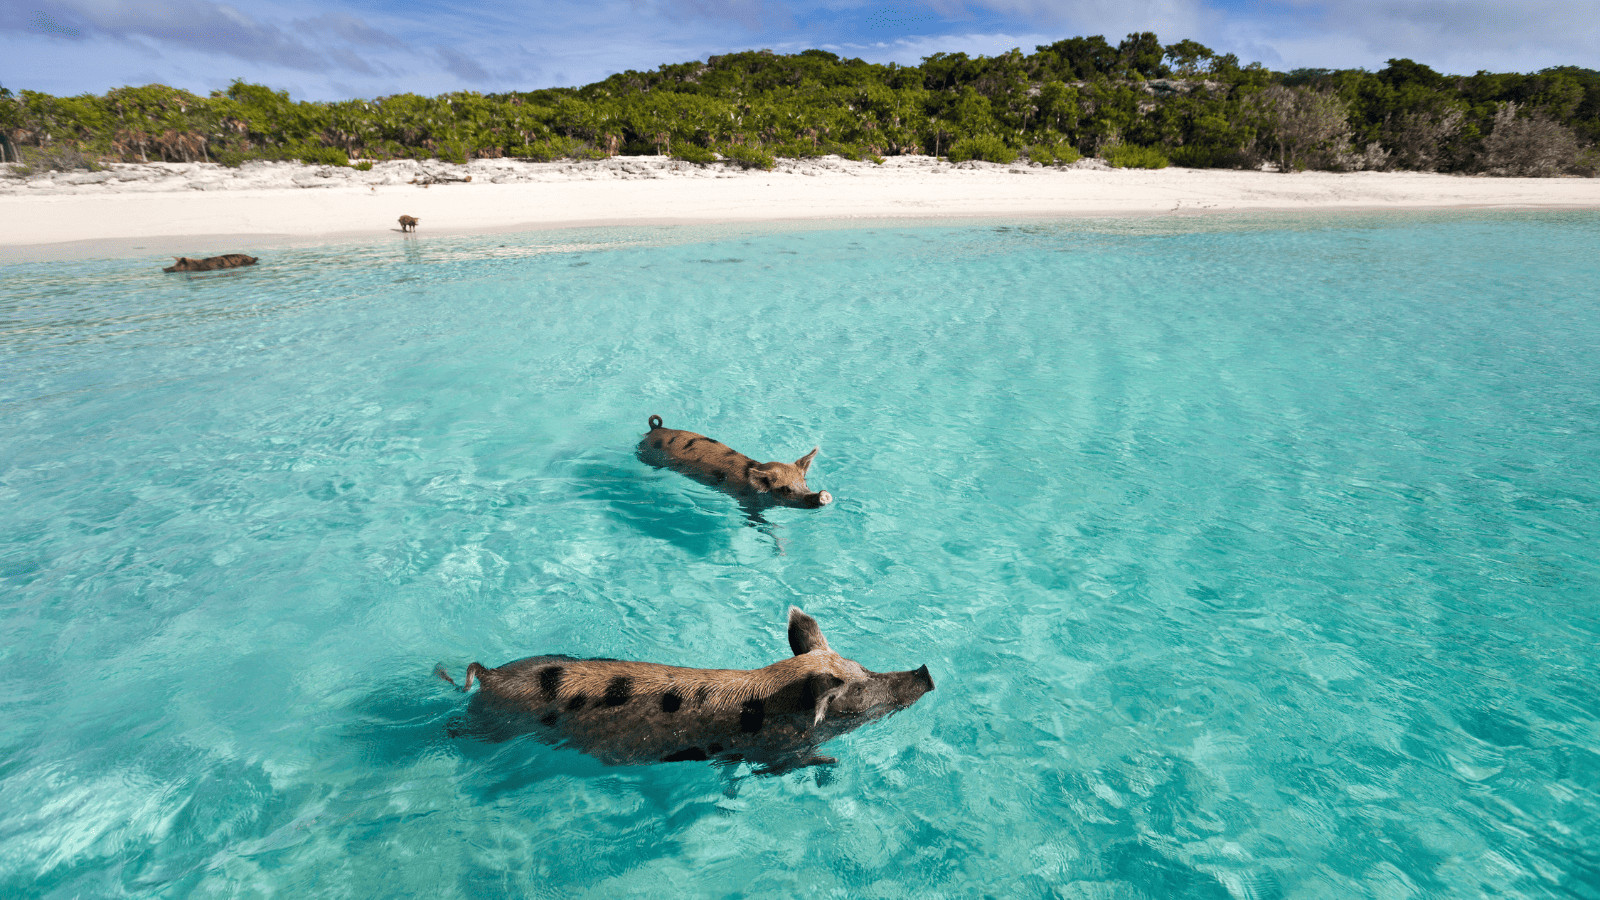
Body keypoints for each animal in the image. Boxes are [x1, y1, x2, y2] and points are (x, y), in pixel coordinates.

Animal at [436, 607, 933, 773]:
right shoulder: (774, 750)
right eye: (858, 689)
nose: (927, 671)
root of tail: (489, 674)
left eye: (863, 666)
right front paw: (831, 764)